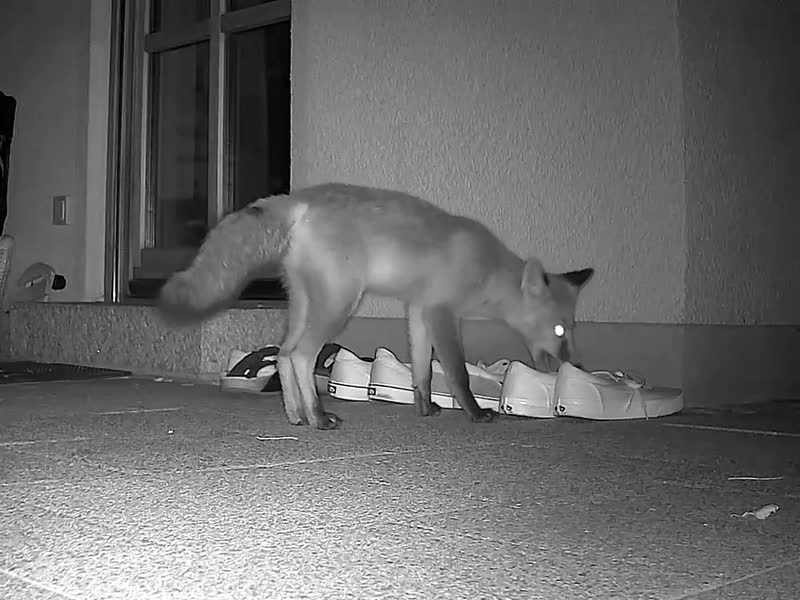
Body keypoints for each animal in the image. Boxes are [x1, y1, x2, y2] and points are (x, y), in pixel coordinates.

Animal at [159, 183, 594, 430]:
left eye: (572, 328)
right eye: (559, 330)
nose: (573, 362)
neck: (487, 271)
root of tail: (299, 198)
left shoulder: (417, 310)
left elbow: (421, 370)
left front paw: (425, 408)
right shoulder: (442, 312)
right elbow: (456, 372)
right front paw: (475, 414)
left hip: (306, 303)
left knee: (282, 355)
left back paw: (296, 415)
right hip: (340, 304)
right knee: (301, 355)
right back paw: (318, 417)